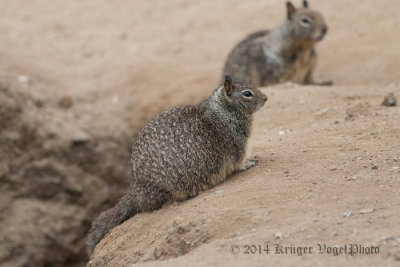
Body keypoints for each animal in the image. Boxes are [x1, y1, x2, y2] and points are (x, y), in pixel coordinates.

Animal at [88, 75, 268, 258]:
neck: (224, 110)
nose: (266, 98)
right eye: (247, 93)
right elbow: (238, 163)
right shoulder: (237, 146)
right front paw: (248, 163)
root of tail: (135, 188)